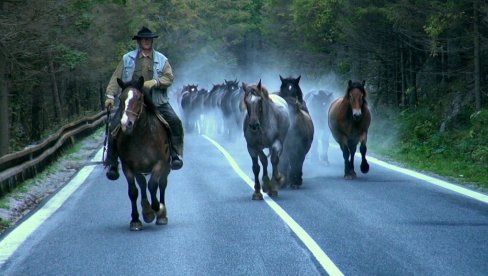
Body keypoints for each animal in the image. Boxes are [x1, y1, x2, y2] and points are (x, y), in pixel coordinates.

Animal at [115, 76, 171, 231]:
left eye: (139, 98)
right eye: (121, 99)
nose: (126, 124)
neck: (142, 137)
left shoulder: (159, 163)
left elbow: (153, 185)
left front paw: (158, 208)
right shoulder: (128, 167)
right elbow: (133, 191)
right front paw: (136, 219)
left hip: (166, 167)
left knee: (161, 184)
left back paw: (161, 215)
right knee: (142, 185)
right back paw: (147, 210)